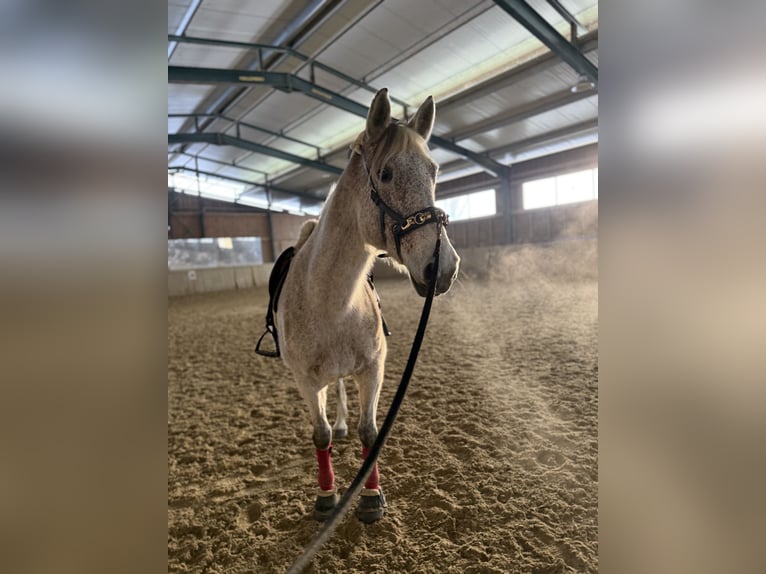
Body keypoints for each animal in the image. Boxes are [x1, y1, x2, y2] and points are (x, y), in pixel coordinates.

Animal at [275, 88, 460, 523]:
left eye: (434, 171)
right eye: (387, 174)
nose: (442, 267)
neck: (331, 300)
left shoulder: (373, 369)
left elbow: (370, 433)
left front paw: (372, 497)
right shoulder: (305, 381)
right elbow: (320, 434)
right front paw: (327, 497)